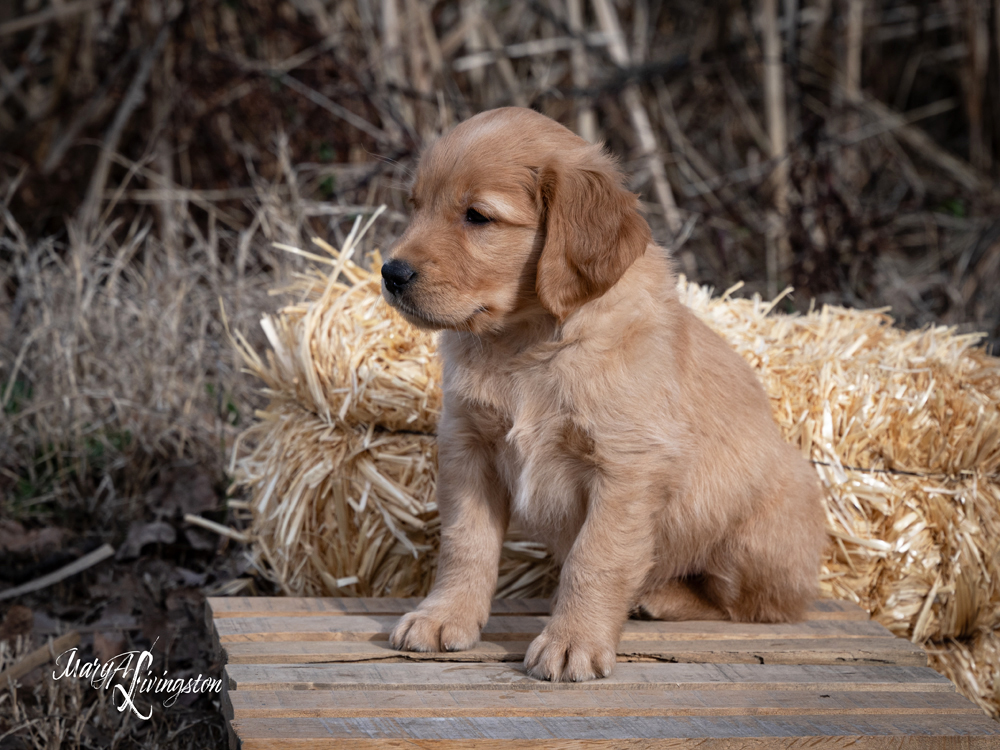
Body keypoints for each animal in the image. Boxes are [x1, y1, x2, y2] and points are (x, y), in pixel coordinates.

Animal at [378, 107, 824, 688]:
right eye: (415, 206)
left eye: (477, 217)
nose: (390, 272)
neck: (527, 343)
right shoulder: (467, 446)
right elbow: (464, 540)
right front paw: (443, 616)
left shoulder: (626, 467)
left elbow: (596, 558)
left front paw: (573, 642)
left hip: (754, 536)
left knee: (758, 605)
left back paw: (660, 599)